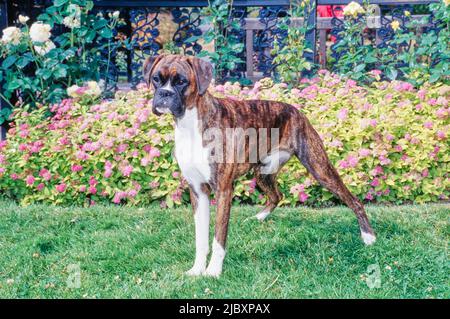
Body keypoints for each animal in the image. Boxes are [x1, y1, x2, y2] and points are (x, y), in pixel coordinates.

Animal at [144, 54, 376, 278]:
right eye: (156, 79)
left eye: (181, 81)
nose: (164, 94)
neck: (190, 125)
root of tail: (295, 110)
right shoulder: (198, 192)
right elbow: (200, 239)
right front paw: (197, 269)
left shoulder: (223, 191)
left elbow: (218, 238)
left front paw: (213, 271)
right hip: (263, 171)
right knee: (277, 196)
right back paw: (259, 217)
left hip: (319, 168)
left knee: (353, 200)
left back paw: (368, 237)